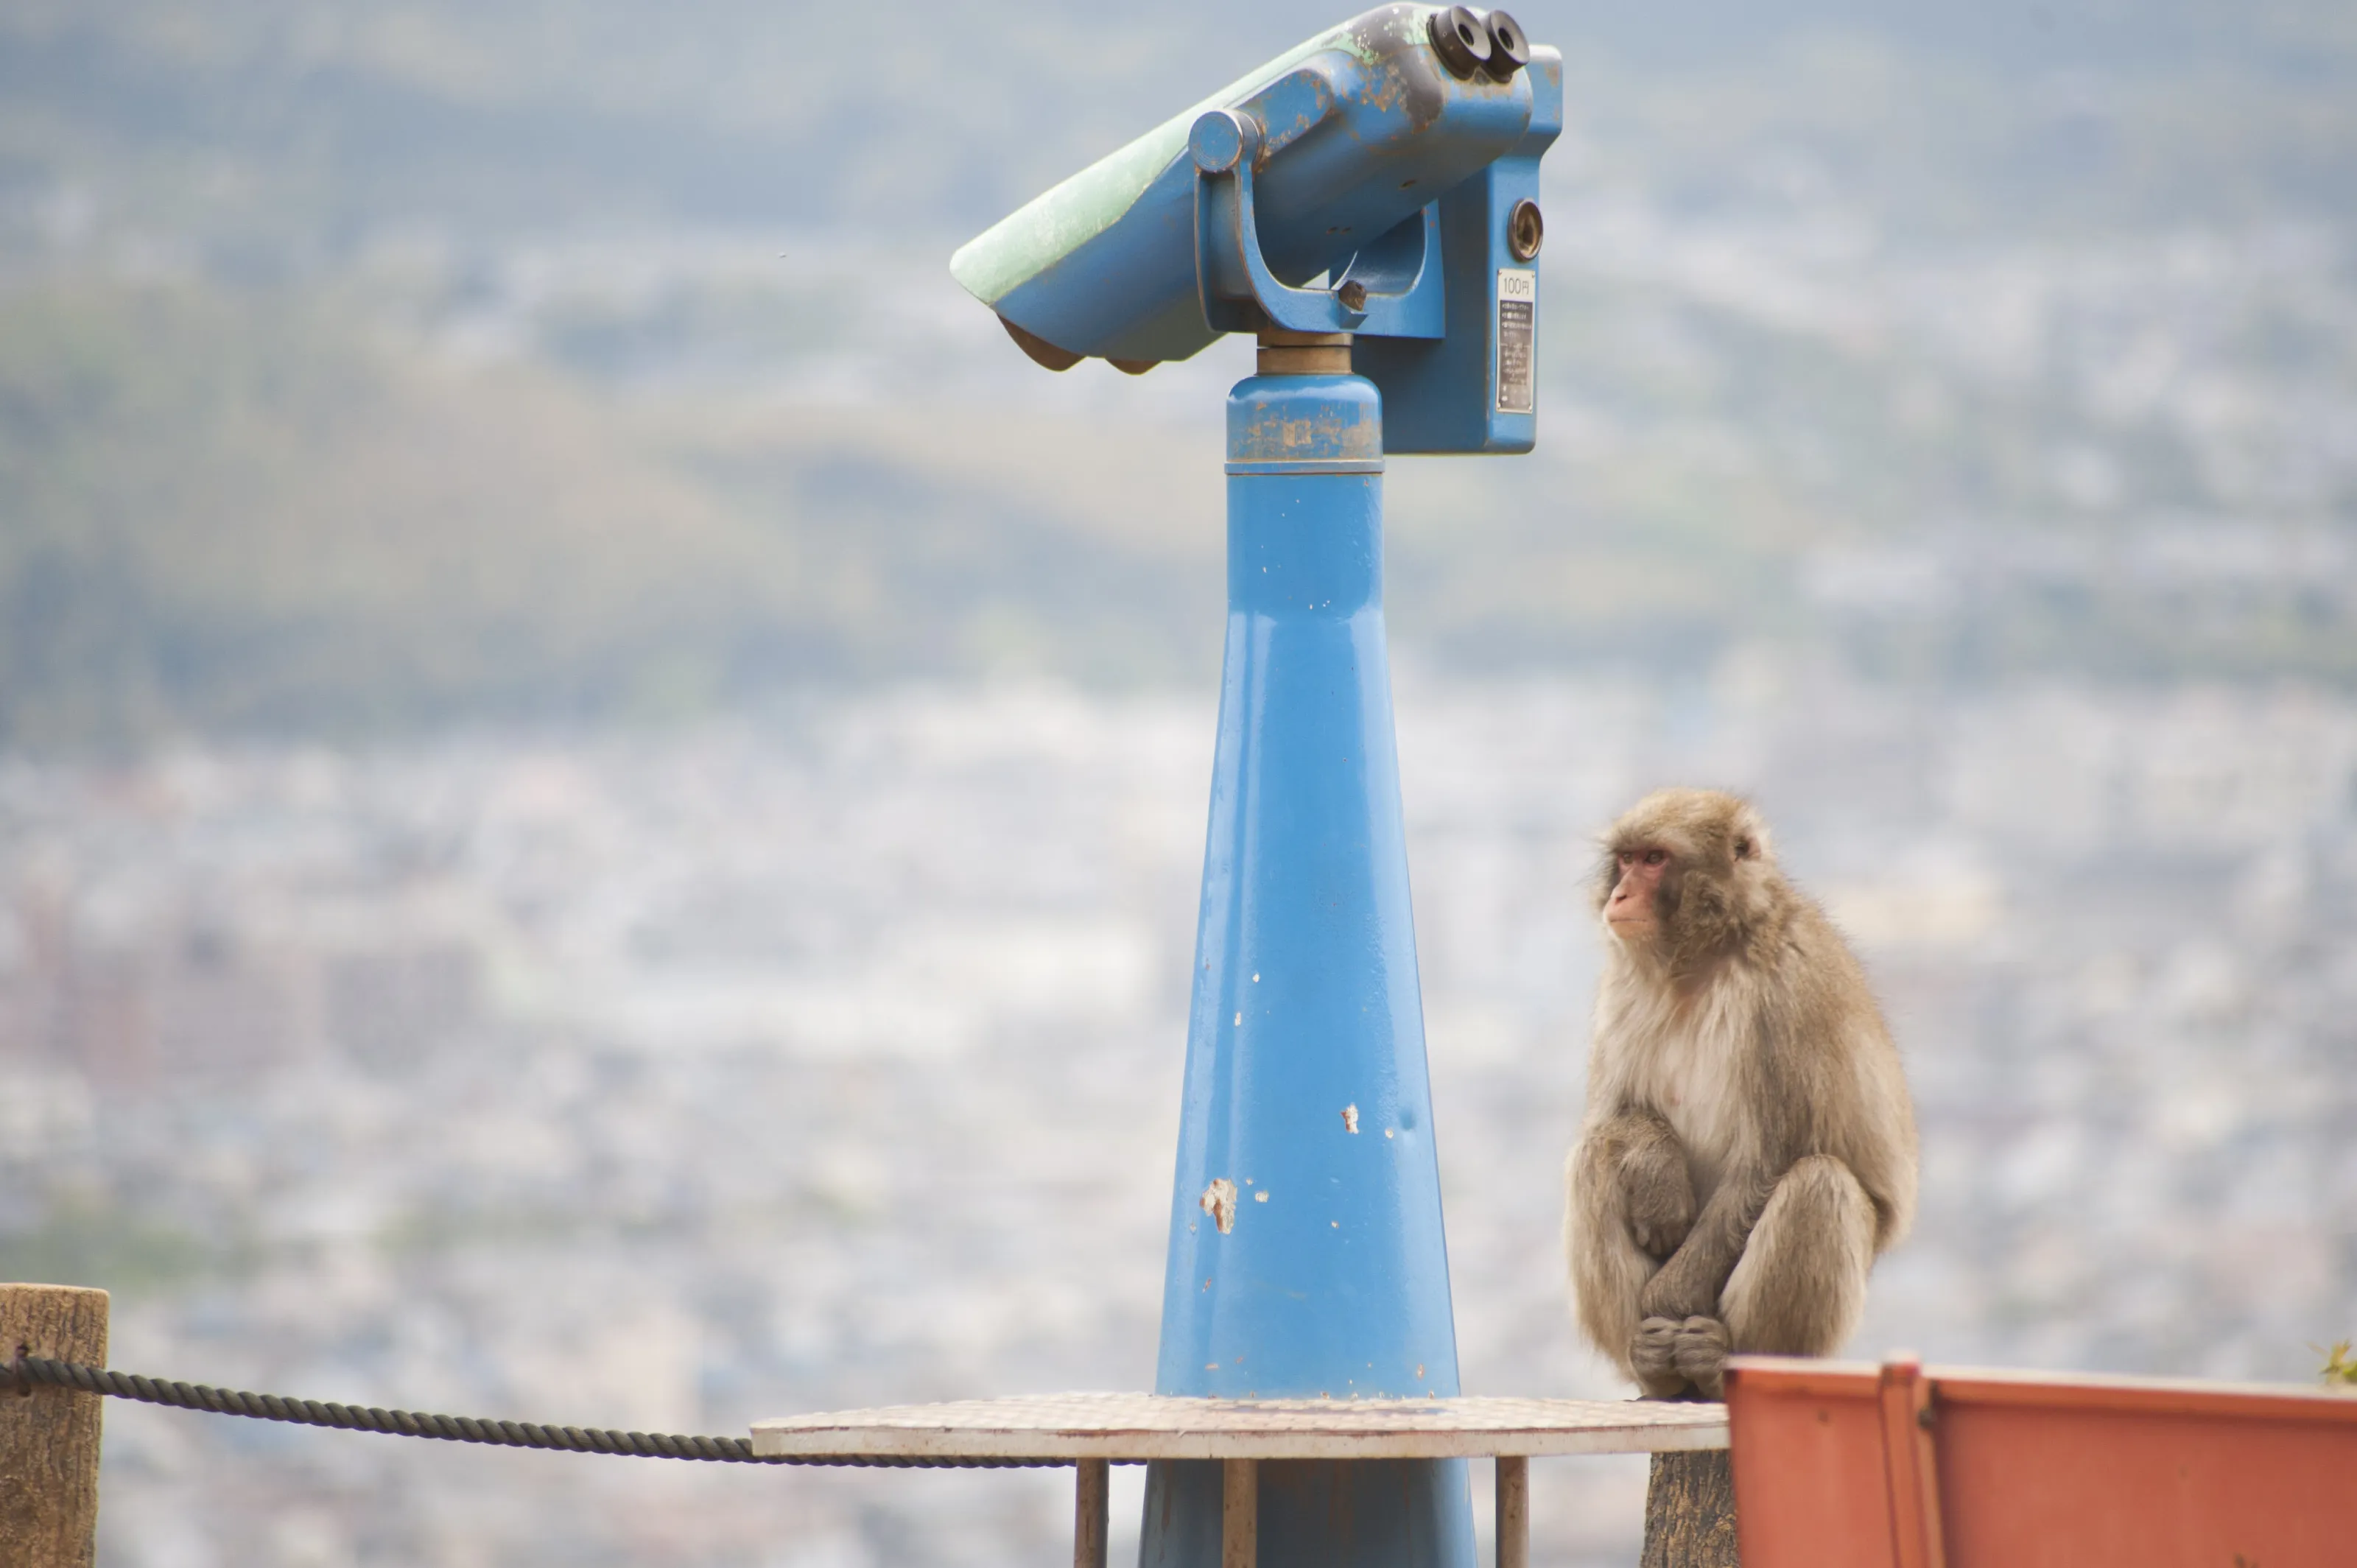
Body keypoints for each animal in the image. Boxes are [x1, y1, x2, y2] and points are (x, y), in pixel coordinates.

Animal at [1564, 788, 1917, 1401]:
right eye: (1627, 858)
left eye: (1654, 859)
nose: (1619, 893)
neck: (1704, 958)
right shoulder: (1622, 987)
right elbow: (1612, 1118)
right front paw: (1658, 1171)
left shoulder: (1790, 991)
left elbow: (1769, 1161)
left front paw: (1670, 1295)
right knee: (1595, 1156)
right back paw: (1652, 1363)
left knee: (1819, 1182)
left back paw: (1721, 1360)